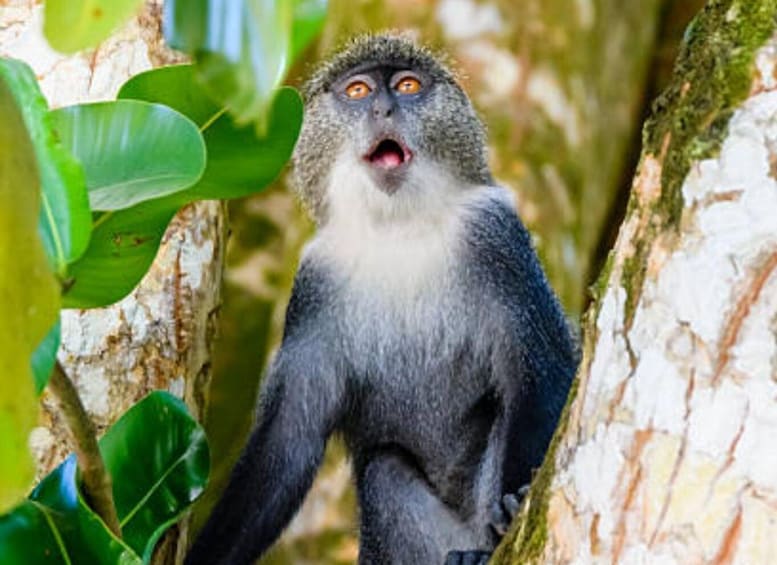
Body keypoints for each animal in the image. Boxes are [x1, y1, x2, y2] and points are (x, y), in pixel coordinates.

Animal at [185, 33, 578, 565]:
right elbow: (287, 442)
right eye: (358, 91)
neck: (398, 229)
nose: (383, 108)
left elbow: (541, 367)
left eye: (408, 86)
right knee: (383, 470)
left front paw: (513, 504)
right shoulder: (314, 285)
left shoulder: (496, 237)